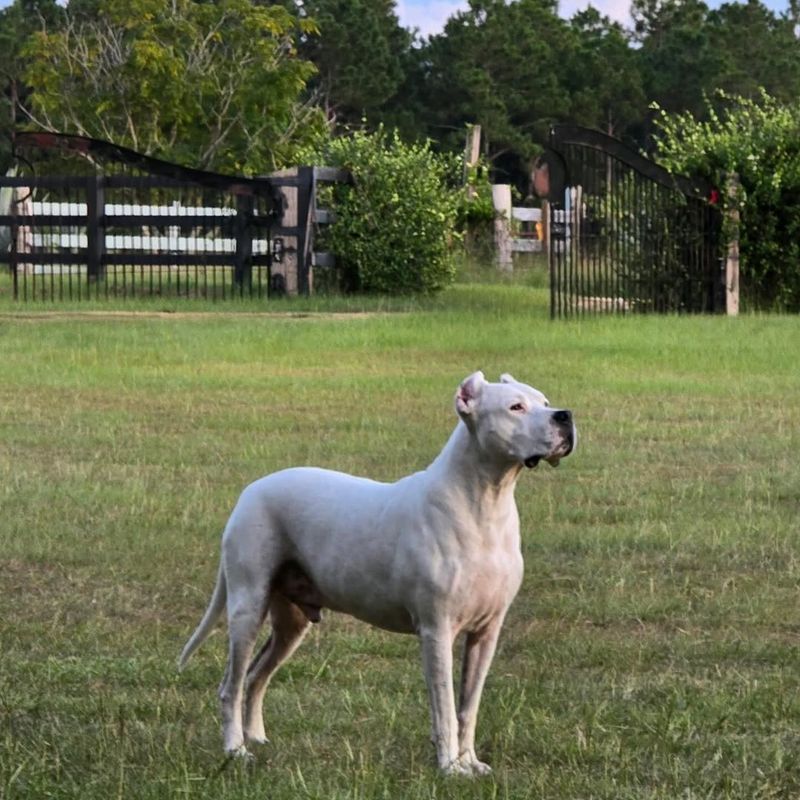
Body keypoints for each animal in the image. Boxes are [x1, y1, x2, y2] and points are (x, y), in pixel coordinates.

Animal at [180, 374, 576, 776]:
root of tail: (250, 490)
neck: (485, 502)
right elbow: (446, 709)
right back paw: (235, 749)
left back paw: (256, 738)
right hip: (248, 605)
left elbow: (469, 707)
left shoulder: (486, 633)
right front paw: (449, 768)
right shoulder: (437, 631)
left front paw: (470, 762)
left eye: (544, 401)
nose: (565, 415)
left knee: (256, 675)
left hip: (290, 622)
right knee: (231, 685)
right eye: (516, 407)